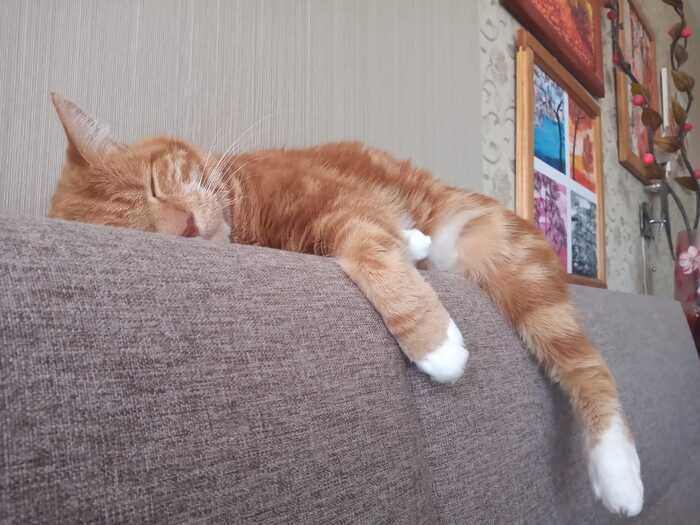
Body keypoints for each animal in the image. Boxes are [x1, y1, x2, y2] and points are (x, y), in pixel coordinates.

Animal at [48, 93, 643, 517]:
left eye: (152, 187)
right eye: (146, 233)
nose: (187, 229)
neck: (242, 215)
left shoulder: (340, 201)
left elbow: (369, 249)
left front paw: (435, 346)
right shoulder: (344, 215)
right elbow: (377, 247)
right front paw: (414, 263)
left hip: (502, 254)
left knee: (587, 366)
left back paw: (618, 471)